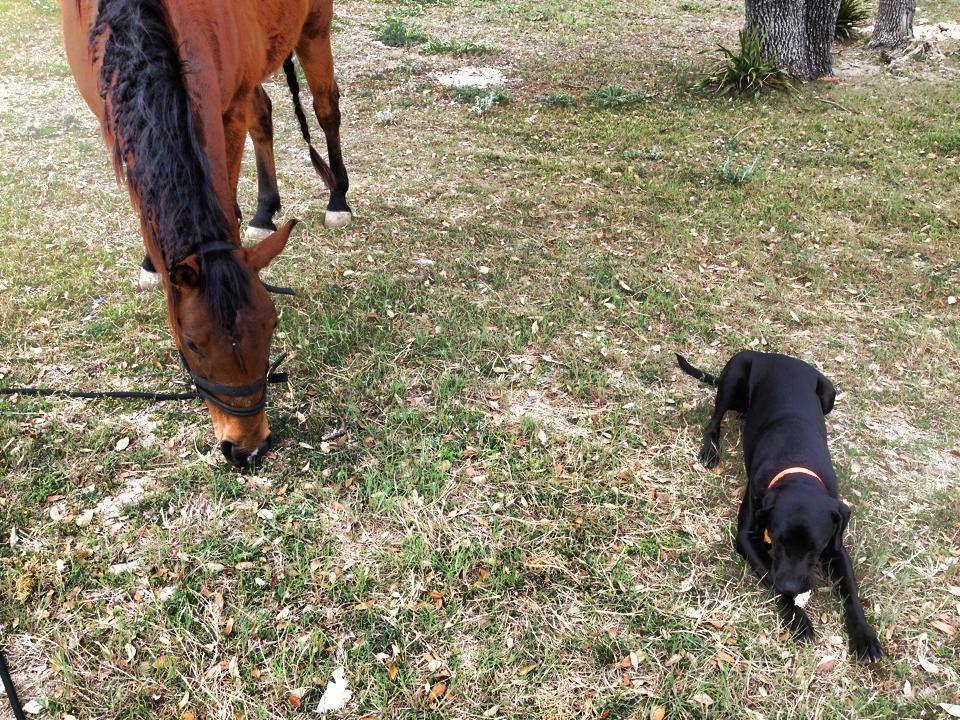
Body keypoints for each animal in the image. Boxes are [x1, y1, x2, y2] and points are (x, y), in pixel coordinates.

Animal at [59, 0, 351, 466]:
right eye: (192, 345)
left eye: (272, 326)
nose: (248, 448)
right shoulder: (113, 115)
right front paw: (152, 263)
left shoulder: (226, 107)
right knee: (264, 112)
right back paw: (264, 210)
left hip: (314, 30)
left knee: (326, 107)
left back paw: (338, 198)